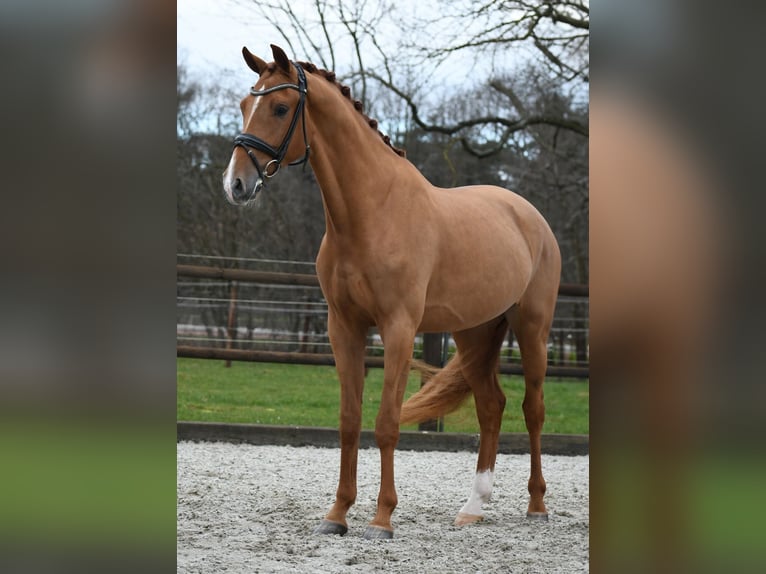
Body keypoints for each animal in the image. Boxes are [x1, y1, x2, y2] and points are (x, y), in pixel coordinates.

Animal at [222, 45, 561, 540]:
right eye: (246, 104)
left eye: (280, 108)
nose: (236, 184)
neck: (369, 213)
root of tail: (529, 215)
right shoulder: (343, 328)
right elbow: (349, 422)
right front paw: (337, 515)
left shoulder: (399, 329)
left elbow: (386, 423)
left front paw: (382, 519)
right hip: (474, 333)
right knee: (491, 407)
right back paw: (473, 507)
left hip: (533, 328)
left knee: (532, 408)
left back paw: (537, 506)